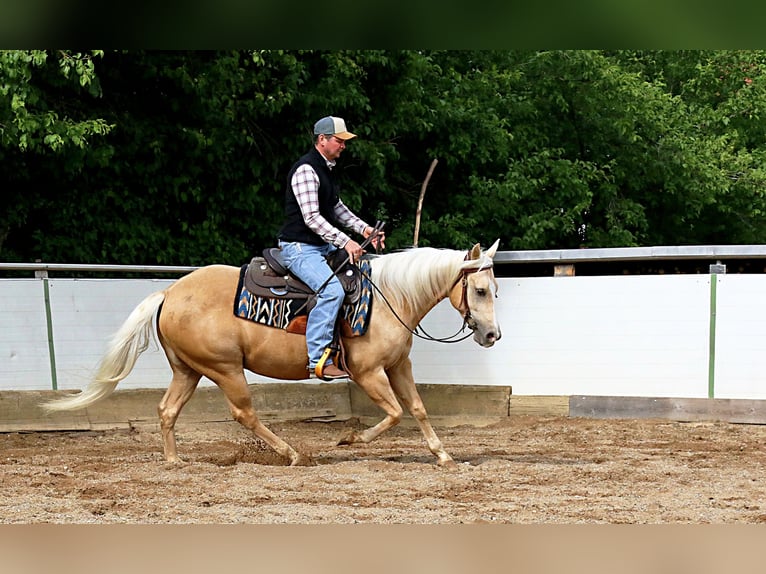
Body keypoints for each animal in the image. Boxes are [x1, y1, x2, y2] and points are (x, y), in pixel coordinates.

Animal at [42, 240, 501, 468]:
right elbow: (393, 414)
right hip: (225, 369)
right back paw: (292, 454)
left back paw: (174, 461)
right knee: (244, 414)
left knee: (167, 409)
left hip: (188, 370)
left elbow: (418, 409)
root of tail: (169, 293)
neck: (389, 297)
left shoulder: (398, 366)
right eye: (479, 290)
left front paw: (443, 455)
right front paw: (348, 438)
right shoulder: (368, 372)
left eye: (495, 289)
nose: (492, 334)